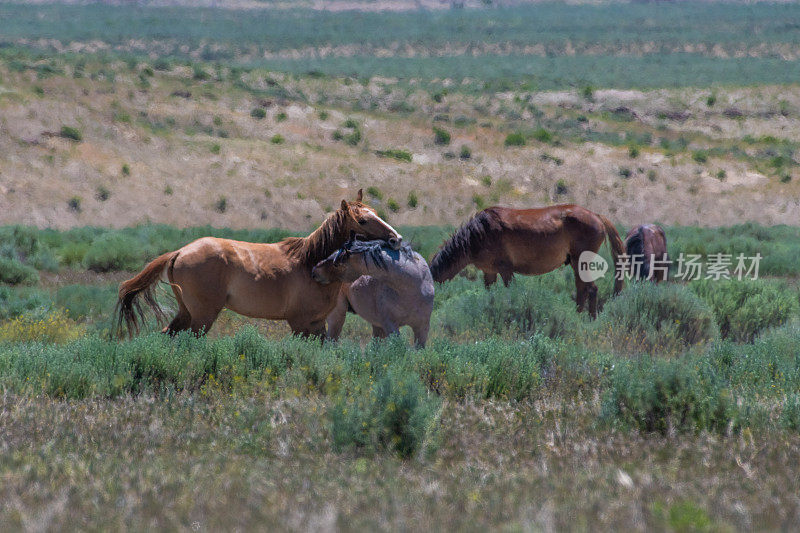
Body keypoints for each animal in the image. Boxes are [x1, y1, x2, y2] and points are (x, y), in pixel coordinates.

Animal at [115, 189, 404, 334]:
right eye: (363, 220)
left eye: (376, 213)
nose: (396, 239)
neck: (310, 264)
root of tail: (179, 252)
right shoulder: (300, 324)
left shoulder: (317, 324)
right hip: (203, 316)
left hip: (187, 313)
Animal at [432, 205, 624, 318]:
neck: (478, 233)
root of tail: (597, 216)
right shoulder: (489, 271)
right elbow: (490, 293)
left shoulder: (505, 269)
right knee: (582, 289)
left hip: (579, 262)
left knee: (591, 289)